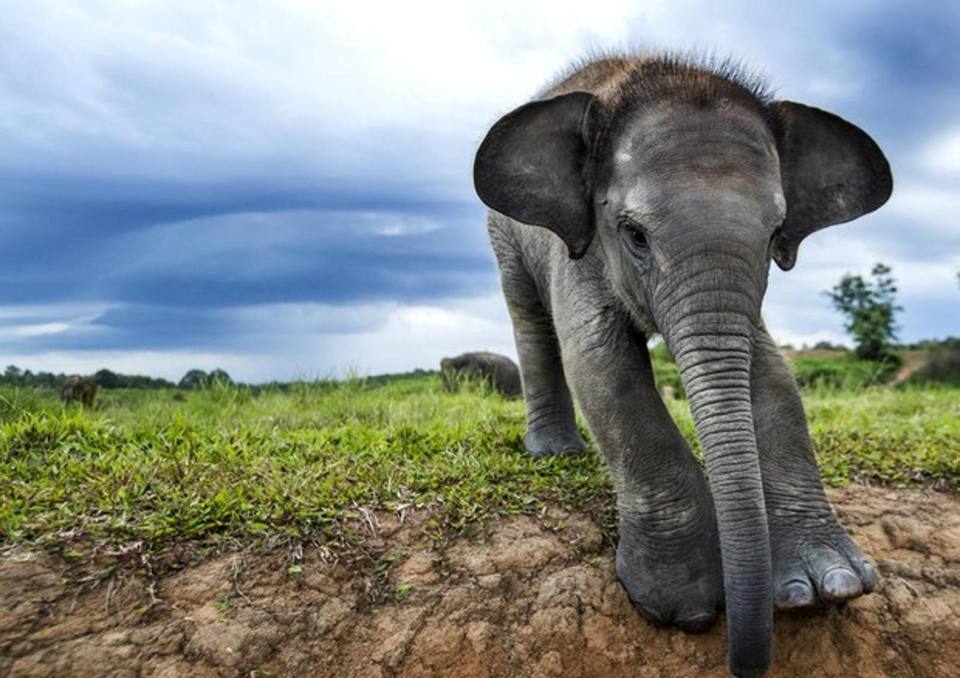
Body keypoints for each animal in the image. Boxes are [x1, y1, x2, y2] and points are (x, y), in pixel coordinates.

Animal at [473, 53, 891, 676]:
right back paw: (556, 452)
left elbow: (771, 375)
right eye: (634, 234)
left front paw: (828, 588)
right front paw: (683, 608)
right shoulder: (580, 246)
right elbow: (600, 363)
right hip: (504, 236)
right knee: (531, 320)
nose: (743, 660)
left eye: (776, 235)